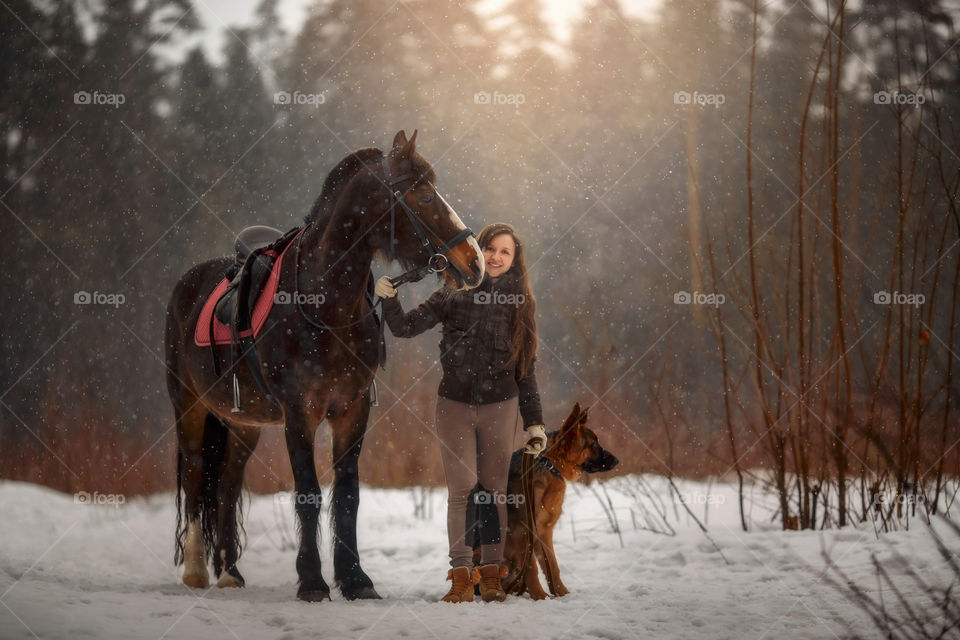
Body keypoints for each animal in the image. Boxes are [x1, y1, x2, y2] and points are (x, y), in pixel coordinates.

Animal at [164, 129, 488, 600]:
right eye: (425, 195)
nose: (474, 261)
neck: (326, 305)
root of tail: (187, 282)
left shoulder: (352, 410)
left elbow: (348, 493)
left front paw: (355, 580)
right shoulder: (299, 414)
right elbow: (309, 493)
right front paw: (313, 581)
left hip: (243, 424)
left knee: (225, 485)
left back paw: (229, 572)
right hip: (189, 407)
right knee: (193, 475)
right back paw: (194, 570)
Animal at [470, 402, 620, 596]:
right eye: (593, 443)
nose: (617, 460)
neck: (548, 465)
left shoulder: (544, 531)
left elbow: (552, 566)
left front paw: (561, 594)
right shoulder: (523, 531)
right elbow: (532, 567)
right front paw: (540, 596)